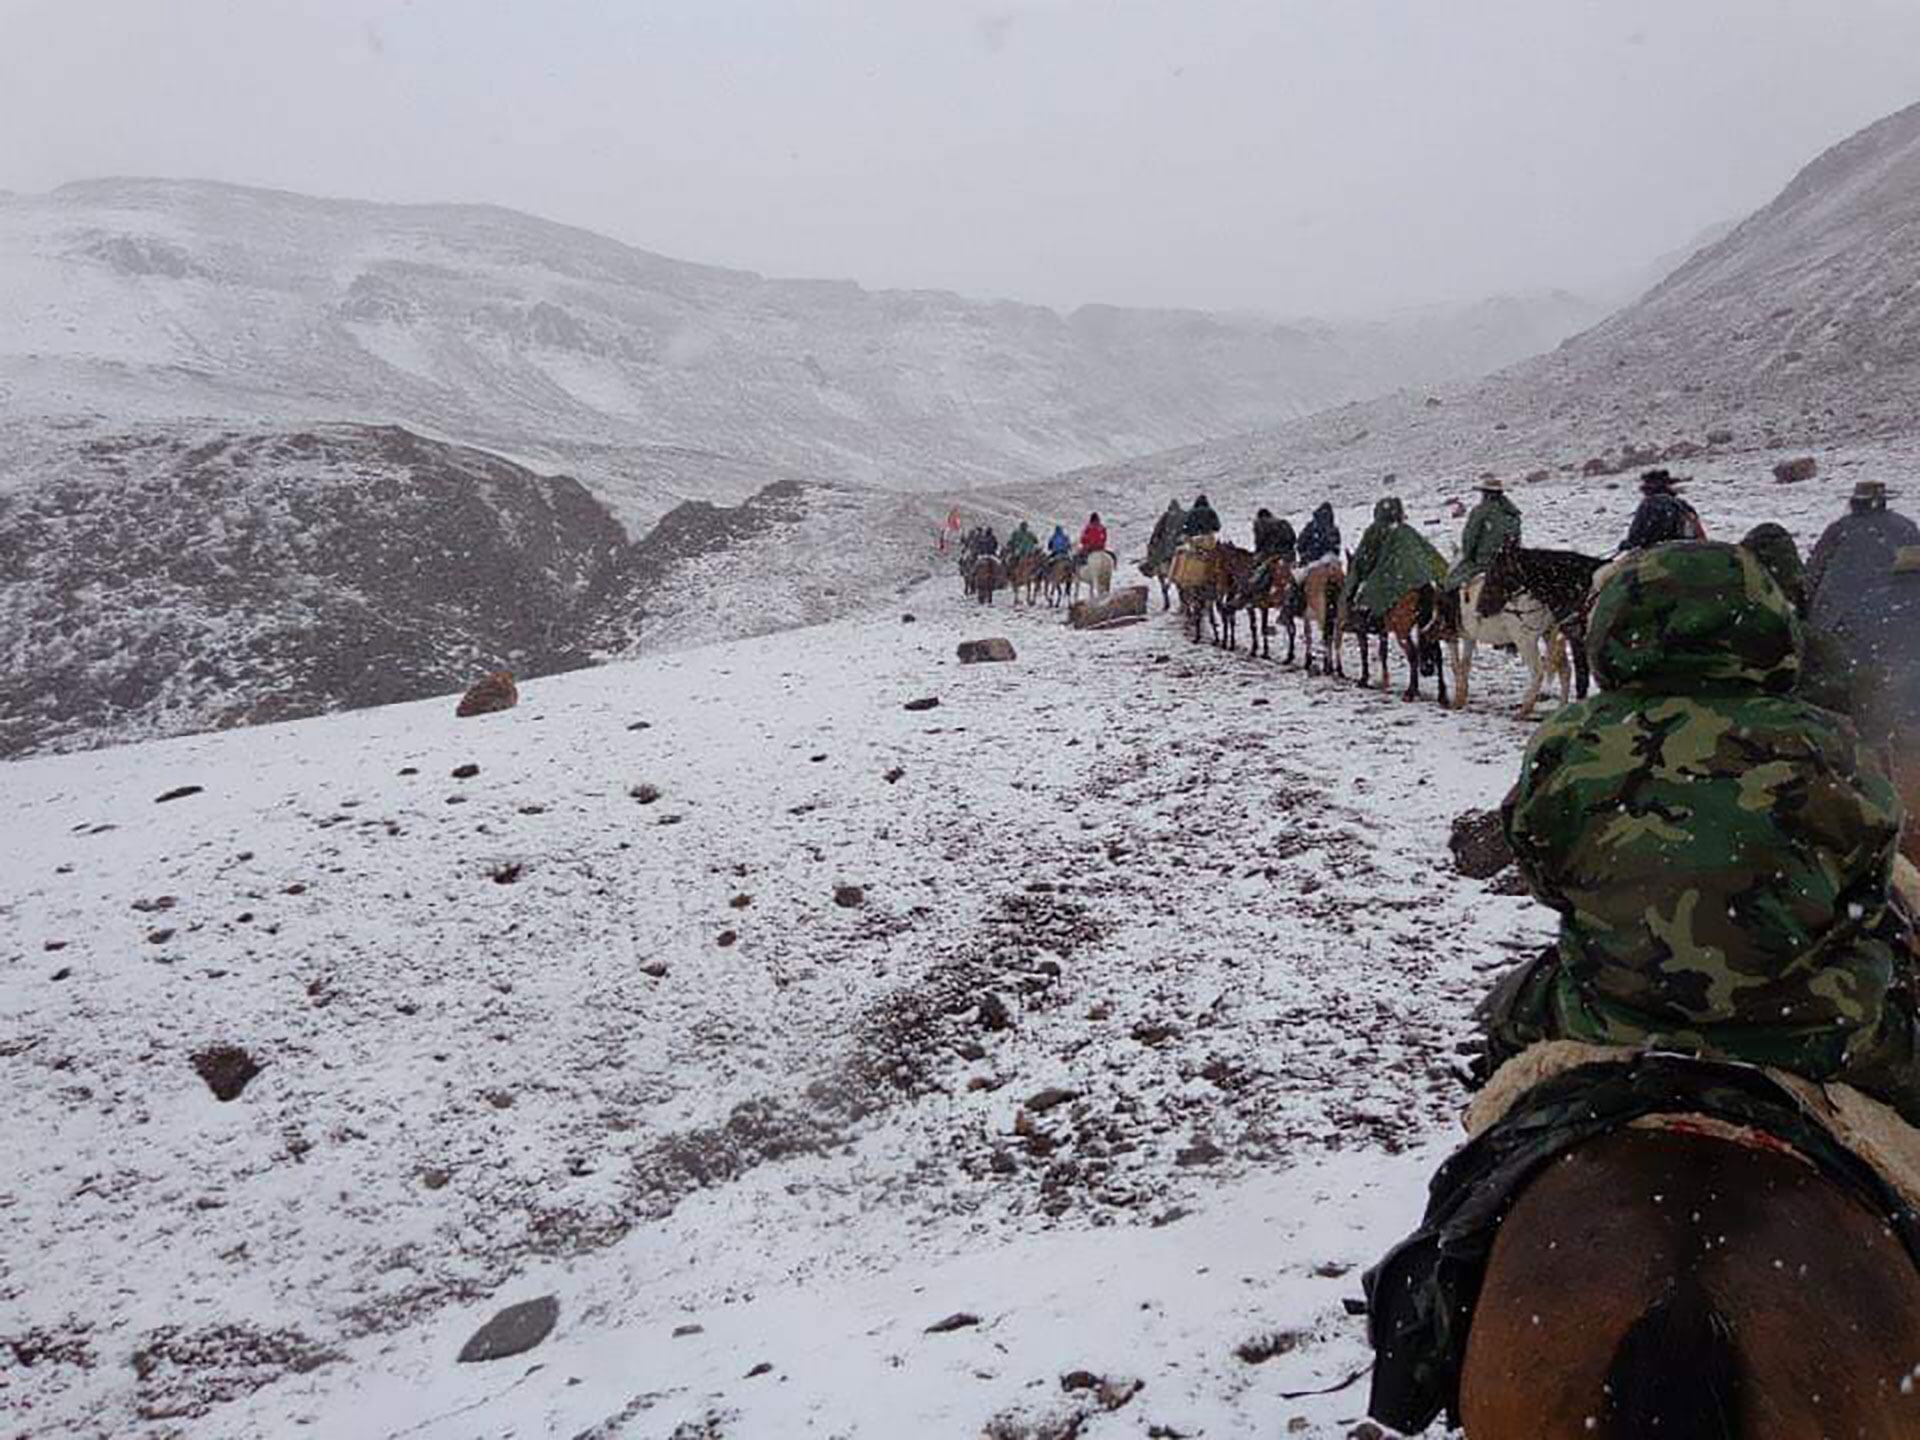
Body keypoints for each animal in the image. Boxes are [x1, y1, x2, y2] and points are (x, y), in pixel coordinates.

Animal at [1443, 576, 1566, 721]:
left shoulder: (1452, 636)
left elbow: (1456, 666)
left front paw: (1456, 703)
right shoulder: (1469, 637)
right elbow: (1464, 666)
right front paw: (1461, 700)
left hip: (1524, 639)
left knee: (1538, 672)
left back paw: (1523, 711)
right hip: (1549, 632)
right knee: (1565, 668)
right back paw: (1562, 709)